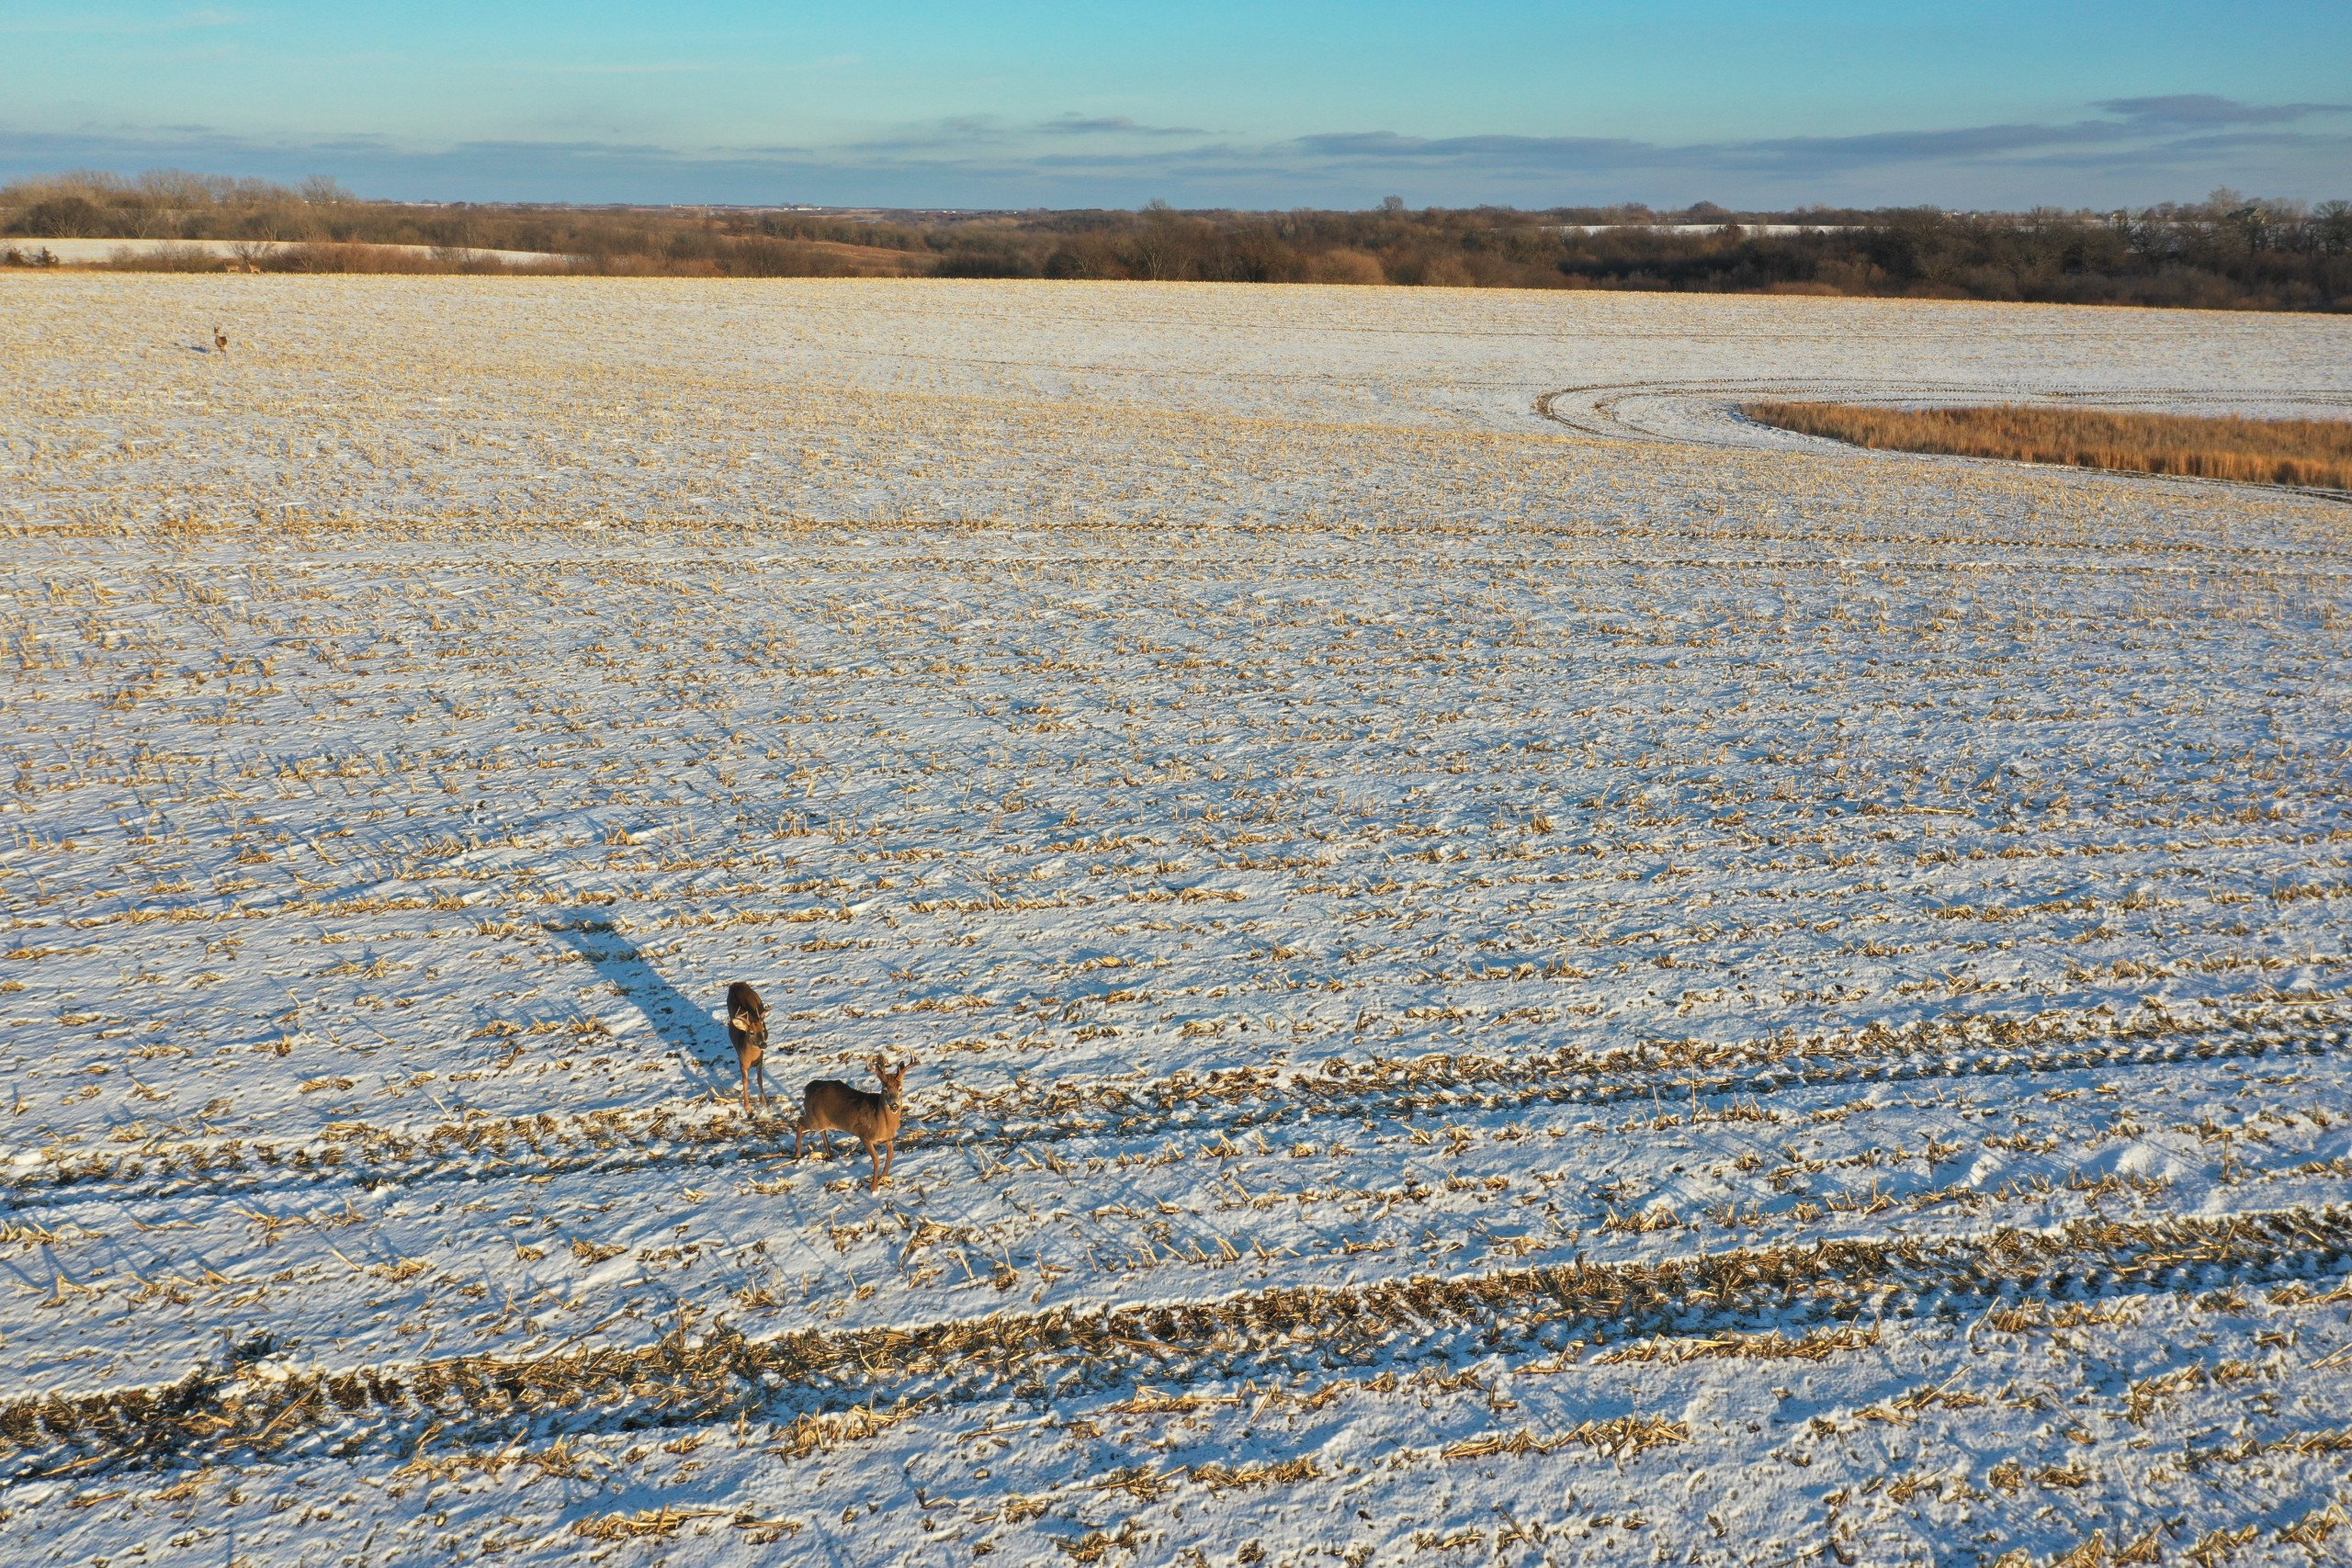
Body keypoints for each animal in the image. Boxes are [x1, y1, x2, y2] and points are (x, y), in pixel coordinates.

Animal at [724, 982, 771, 1114]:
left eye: (763, 1030)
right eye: (751, 1032)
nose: (763, 1045)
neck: (751, 1057)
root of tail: (738, 983)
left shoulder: (760, 1060)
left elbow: (760, 1079)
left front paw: (765, 1100)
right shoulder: (743, 1063)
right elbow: (745, 1082)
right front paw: (748, 1107)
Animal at [799, 1053, 908, 1189]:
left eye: (900, 1089)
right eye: (885, 1089)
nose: (894, 1106)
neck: (882, 1122)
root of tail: (808, 1087)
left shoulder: (888, 1138)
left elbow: (890, 1155)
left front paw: (884, 1177)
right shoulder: (864, 1135)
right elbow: (876, 1159)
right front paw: (873, 1187)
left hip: (820, 1120)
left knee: (820, 1130)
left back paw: (830, 1154)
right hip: (813, 1118)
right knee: (799, 1122)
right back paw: (797, 1156)